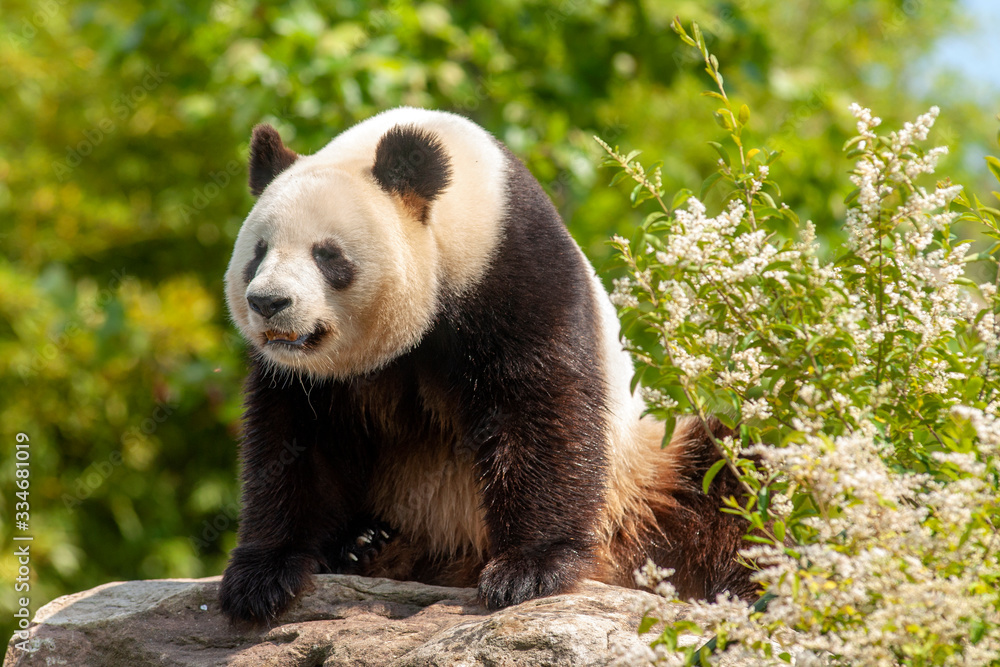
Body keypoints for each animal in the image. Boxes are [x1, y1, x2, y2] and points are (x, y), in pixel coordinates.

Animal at [218, 107, 755, 627]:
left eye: (328, 255)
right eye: (258, 253)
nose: (268, 302)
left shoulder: (513, 267)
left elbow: (540, 404)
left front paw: (529, 570)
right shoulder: (309, 374)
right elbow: (294, 440)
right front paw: (262, 578)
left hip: (645, 478)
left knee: (728, 480)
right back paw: (365, 546)